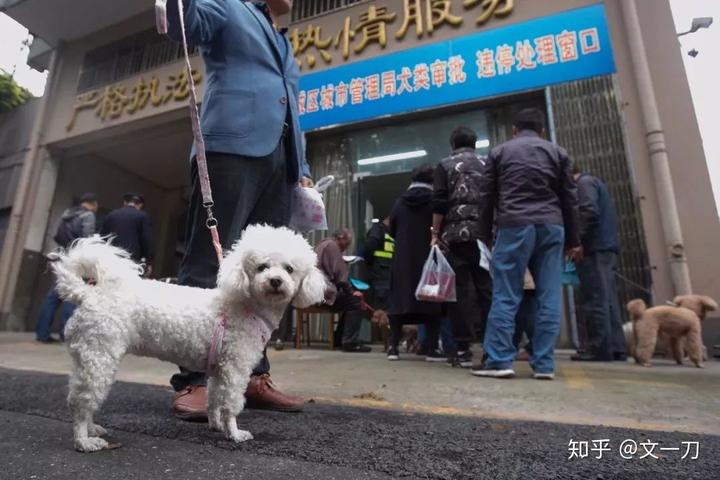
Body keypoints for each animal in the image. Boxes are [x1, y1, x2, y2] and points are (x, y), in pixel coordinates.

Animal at [52, 223, 328, 452]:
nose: (275, 281)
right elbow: (231, 402)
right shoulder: (236, 367)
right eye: (262, 267)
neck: (246, 304)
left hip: (88, 356)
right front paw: (235, 433)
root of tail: (86, 294)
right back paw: (84, 440)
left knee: (79, 395)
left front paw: (217, 425)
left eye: (289, 269)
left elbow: (215, 398)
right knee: (82, 401)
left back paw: (92, 429)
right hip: (100, 354)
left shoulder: (220, 369)